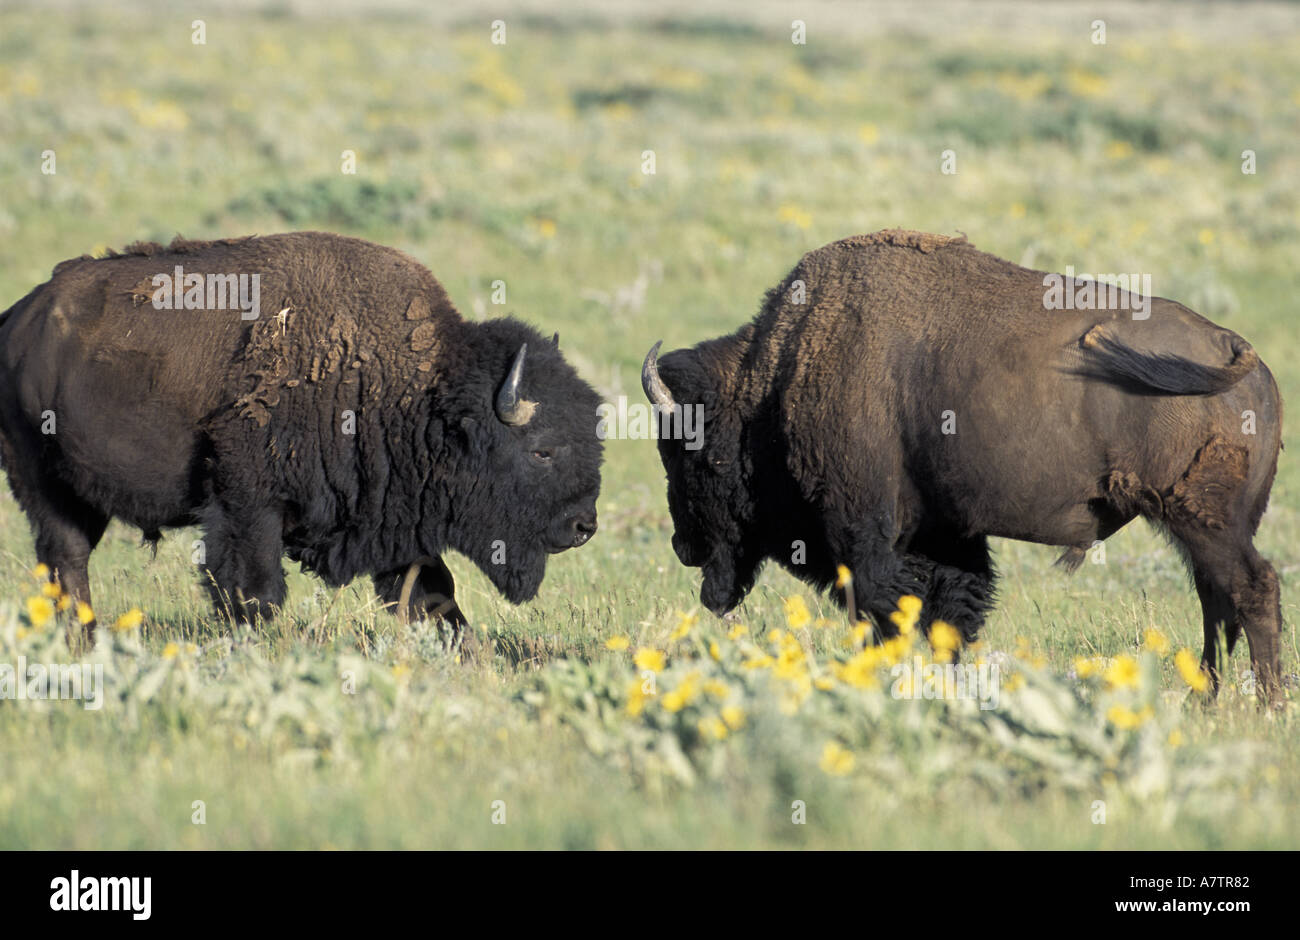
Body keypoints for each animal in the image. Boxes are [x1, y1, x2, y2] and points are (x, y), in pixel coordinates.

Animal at [0, 234, 603, 639]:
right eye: (542, 450)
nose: (584, 526)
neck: (418, 392)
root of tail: (18, 319)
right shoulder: (248, 505)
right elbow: (255, 593)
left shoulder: (395, 515)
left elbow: (433, 597)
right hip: (44, 480)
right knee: (67, 558)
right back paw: (83, 640)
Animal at [639, 231, 1279, 707]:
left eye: (698, 456)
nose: (684, 547)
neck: (776, 378)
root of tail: (1240, 354)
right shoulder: (945, 533)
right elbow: (951, 612)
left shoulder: (862, 529)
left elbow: (884, 608)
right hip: (1204, 528)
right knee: (1217, 599)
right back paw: (1207, 699)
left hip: (1203, 520)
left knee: (1251, 589)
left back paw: (1265, 704)